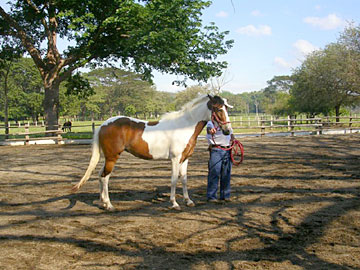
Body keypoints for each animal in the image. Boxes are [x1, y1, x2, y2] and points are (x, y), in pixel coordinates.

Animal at [71, 95, 232, 211]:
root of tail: (103, 124)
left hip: (108, 158)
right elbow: (174, 180)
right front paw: (174, 203)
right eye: (218, 109)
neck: (183, 126)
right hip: (112, 157)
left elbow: (184, 179)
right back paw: (109, 205)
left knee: (100, 175)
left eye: (226, 108)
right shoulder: (175, 159)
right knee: (105, 177)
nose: (227, 131)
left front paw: (188, 201)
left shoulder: (185, 159)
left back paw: (102, 202)